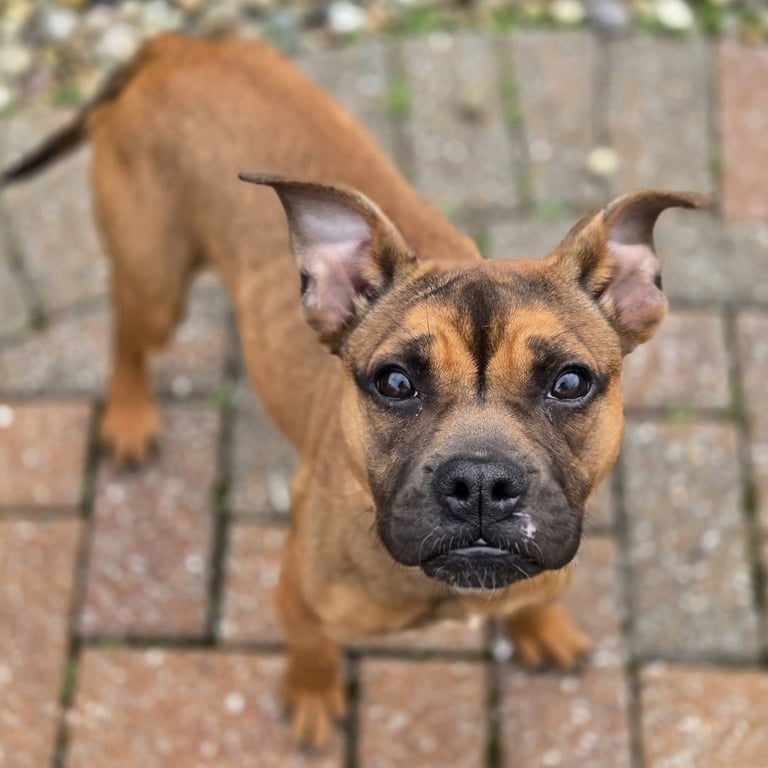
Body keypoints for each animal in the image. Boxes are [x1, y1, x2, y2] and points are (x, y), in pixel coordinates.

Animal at [2, 33, 707, 748]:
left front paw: (541, 626)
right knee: (126, 335)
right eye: (394, 382)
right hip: (156, 283)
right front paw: (313, 695)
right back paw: (127, 416)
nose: (481, 482)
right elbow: (312, 648)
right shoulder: (297, 599)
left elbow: (536, 599)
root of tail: (178, 45)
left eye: (570, 382)